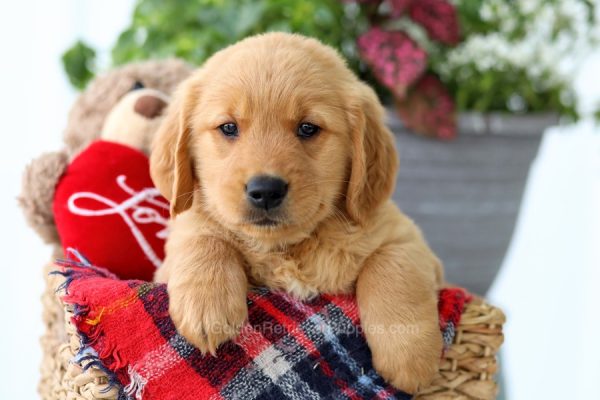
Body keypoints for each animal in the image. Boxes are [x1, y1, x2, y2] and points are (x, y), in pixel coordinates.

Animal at [152, 32, 442, 394]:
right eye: (229, 128)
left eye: (308, 128)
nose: (265, 190)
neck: (287, 248)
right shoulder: (176, 247)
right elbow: (200, 233)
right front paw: (207, 307)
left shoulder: (406, 237)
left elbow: (393, 268)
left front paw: (410, 358)